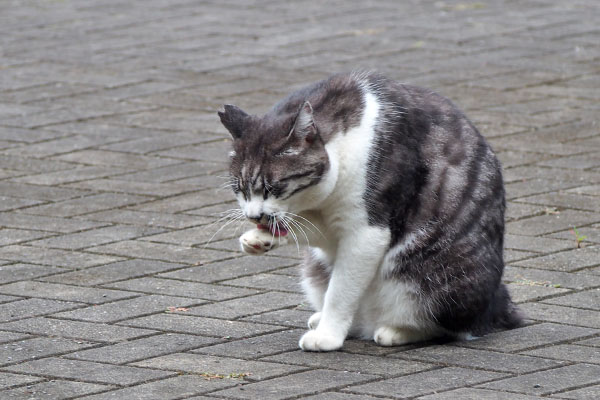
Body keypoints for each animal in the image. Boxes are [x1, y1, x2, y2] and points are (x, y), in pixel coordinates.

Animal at [218, 71, 524, 350]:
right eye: (240, 189)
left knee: (449, 327)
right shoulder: (328, 224)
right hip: (313, 269)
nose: (253, 216)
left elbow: (340, 292)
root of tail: (498, 303)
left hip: (441, 281)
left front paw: (328, 336)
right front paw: (259, 238)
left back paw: (394, 331)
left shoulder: (366, 232)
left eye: (274, 187)